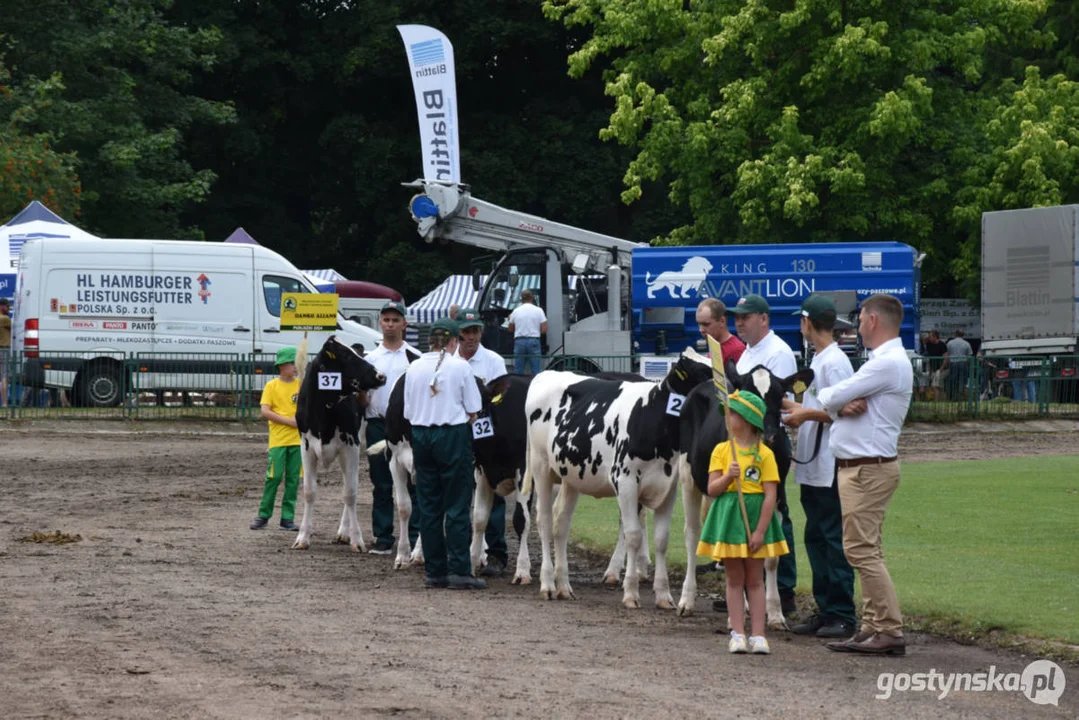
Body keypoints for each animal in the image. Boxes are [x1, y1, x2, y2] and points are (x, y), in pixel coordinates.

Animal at [293, 338, 386, 552]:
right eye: (347, 356)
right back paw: (343, 532)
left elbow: (350, 494)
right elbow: (309, 492)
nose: (381, 375)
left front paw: (357, 540)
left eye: (354, 354)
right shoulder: (306, 447)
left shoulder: (351, 446)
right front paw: (303, 537)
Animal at [524, 349, 716, 608]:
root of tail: (546, 374)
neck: (650, 417)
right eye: (702, 374)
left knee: (561, 522)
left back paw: (564, 586)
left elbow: (661, 539)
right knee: (544, 521)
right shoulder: (625, 482)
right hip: (541, 466)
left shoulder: (668, 488)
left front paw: (663, 595)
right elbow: (633, 535)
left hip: (570, 476)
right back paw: (547, 585)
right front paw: (631, 592)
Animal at [673, 360, 811, 626]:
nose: (768, 435)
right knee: (692, 534)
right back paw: (687, 600)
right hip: (687, 476)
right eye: (748, 395)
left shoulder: (777, 493)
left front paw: (775, 613)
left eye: (780, 396)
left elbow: (771, 556)